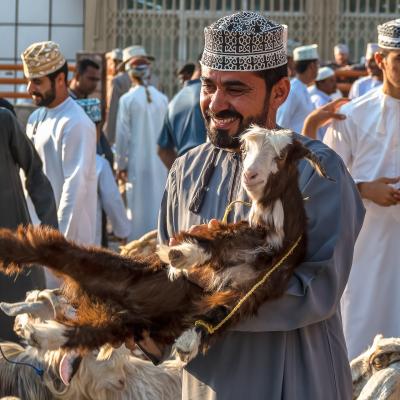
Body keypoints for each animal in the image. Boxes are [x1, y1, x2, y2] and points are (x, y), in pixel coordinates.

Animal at [0, 126, 332, 354]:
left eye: (281, 156)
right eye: (246, 151)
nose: (249, 175)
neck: (270, 241)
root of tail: (107, 301)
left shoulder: (260, 286)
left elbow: (223, 311)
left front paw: (188, 341)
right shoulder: (240, 233)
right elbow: (215, 238)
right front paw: (181, 256)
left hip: (126, 322)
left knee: (82, 332)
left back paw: (40, 335)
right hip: (111, 266)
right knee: (50, 248)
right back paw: (9, 251)